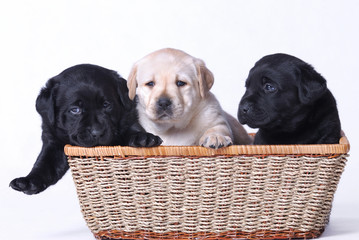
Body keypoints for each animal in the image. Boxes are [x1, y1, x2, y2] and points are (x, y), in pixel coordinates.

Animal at [10, 64, 163, 195]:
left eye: (106, 105)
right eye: (75, 110)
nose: (97, 132)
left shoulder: (129, 119)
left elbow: (133, 131)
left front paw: (143, 138)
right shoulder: (53, 141)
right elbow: (45, 164)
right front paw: (28, 182)